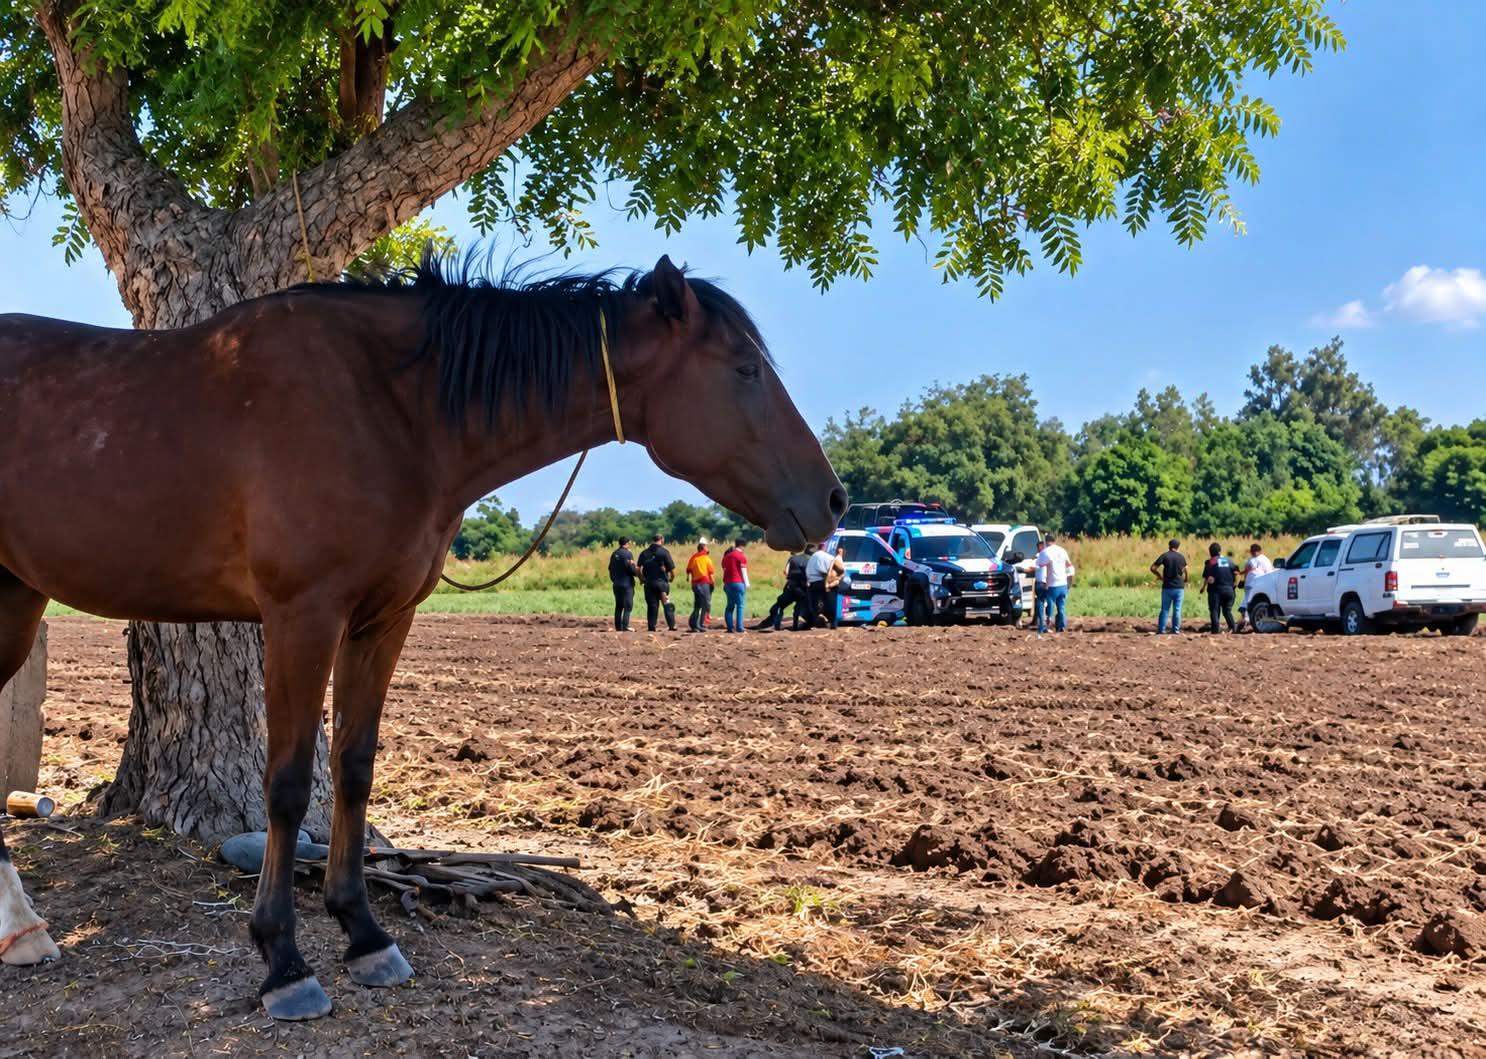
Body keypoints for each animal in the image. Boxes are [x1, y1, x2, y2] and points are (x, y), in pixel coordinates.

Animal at [0, 252, 846, 1017]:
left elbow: (354, 766)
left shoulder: (382, 618)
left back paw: (24, 932)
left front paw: (364, 932)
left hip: (16, 598)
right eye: (744, 369)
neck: (389, 406)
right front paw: (283, 961)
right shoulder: (302, 615)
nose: (834, 499)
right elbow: (287, 785)